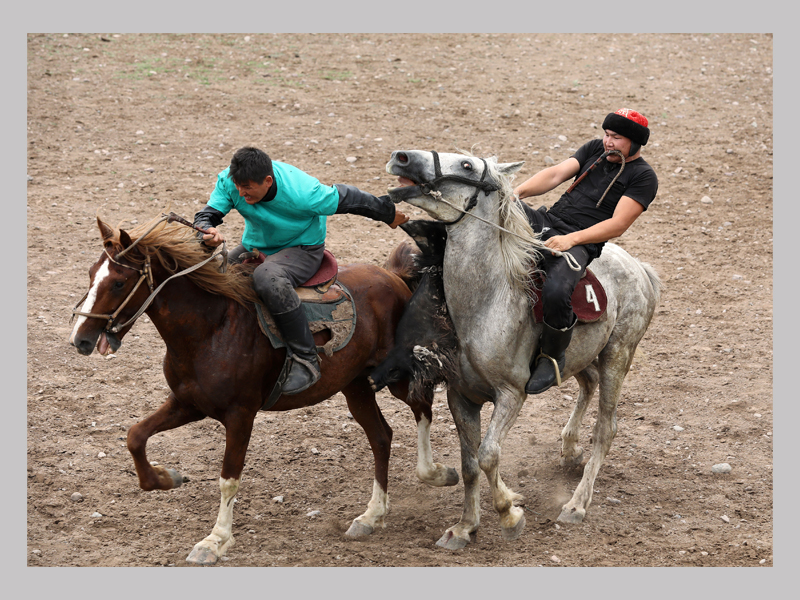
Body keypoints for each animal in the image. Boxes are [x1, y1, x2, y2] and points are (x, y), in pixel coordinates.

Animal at [68, 212, 458, 565]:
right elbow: (135, 435)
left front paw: (215, 541)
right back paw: (371, 515)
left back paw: (436, 473)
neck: (211, 327)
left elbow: (228, 478)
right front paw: (165, 478)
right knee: (381, 436)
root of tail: (393, 276)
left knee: (422, 408)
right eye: (89, 274)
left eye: (119, 283)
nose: (81, 339)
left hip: (399, 376)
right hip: (356, 386)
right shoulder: (187, 403)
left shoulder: (241, 415)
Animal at [383, 150, 662, 549]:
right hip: (582, 355)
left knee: (606, 428)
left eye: (467, 165)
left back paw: (577, 504)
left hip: (618, 356)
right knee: (587, 384)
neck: (486, 303)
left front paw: (509, 514)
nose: (402, 157)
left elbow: (487, 455)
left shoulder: (511, 394)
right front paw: (464, 527)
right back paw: (569, 449)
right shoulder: (460, 397)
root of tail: (638, 267)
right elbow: (469, 464)